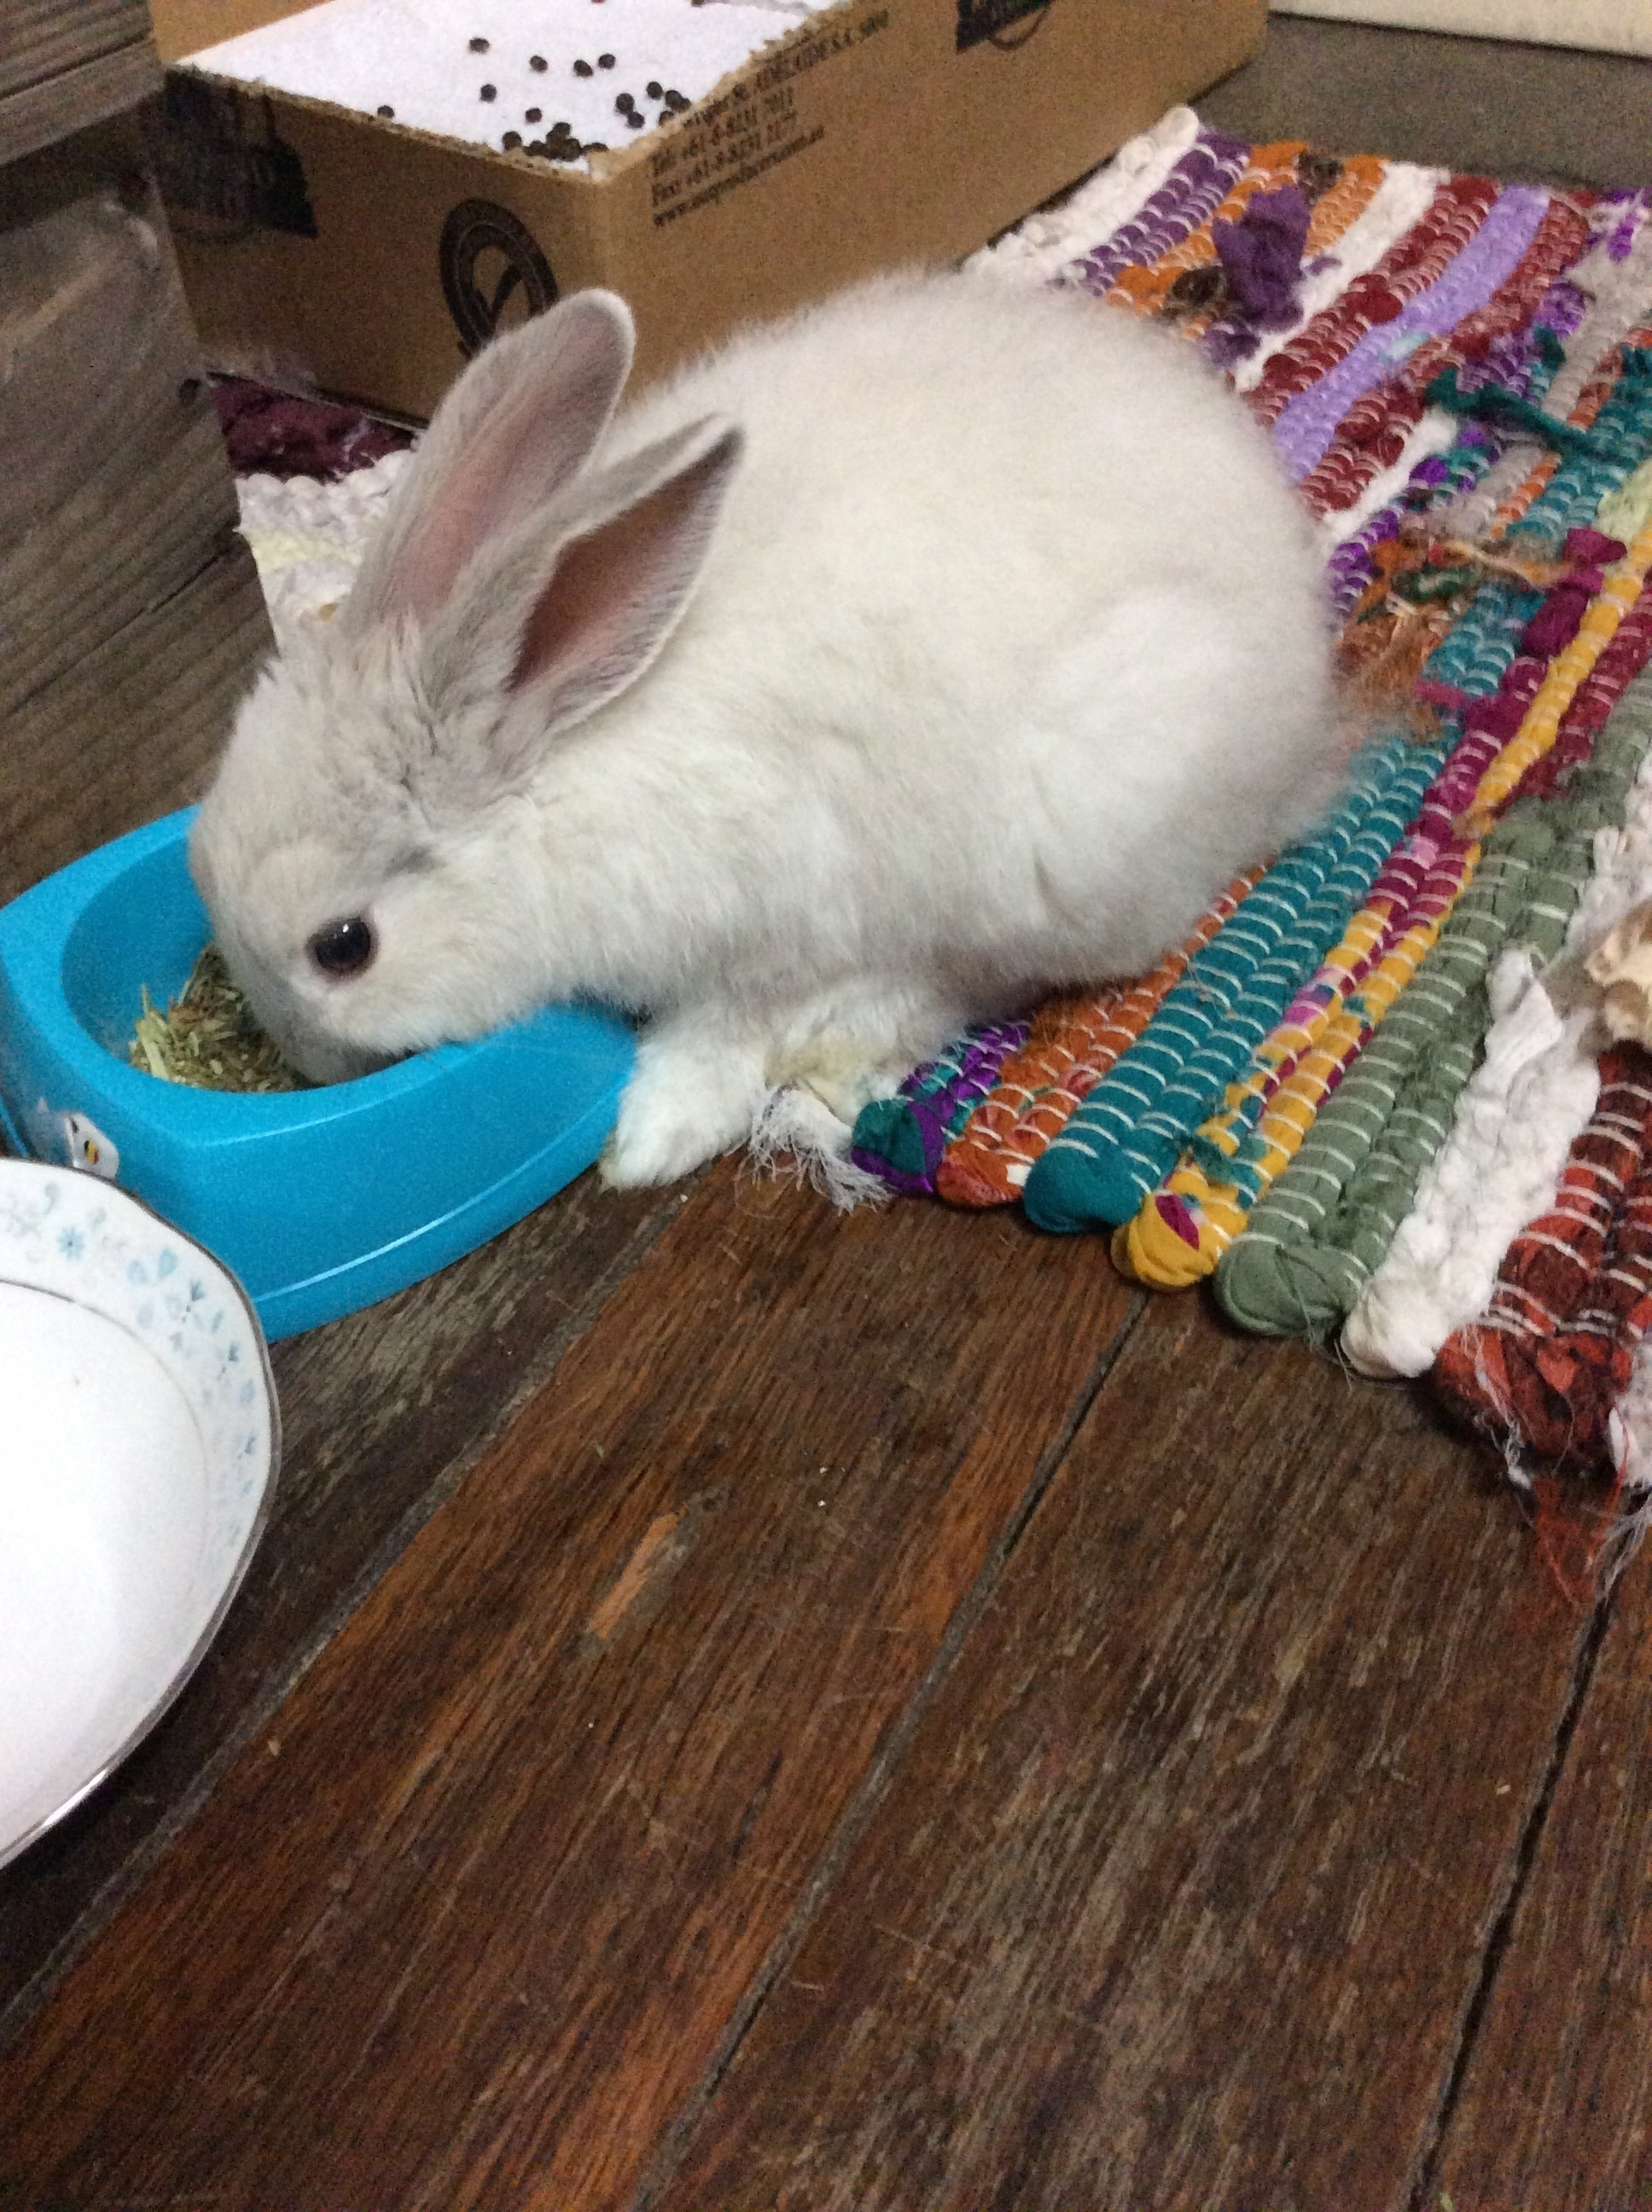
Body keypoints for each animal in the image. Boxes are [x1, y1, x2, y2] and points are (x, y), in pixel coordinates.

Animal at [190, 268, 1346, 1189]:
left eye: (344, 948)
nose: (303, 1064)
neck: (557, 746)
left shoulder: (773, 926)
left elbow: (722, 1033)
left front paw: (651, 1138)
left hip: (1078, 829)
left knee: (993, 971)